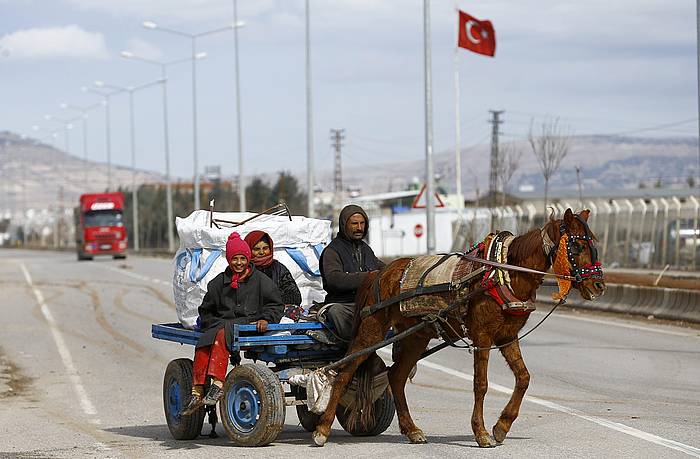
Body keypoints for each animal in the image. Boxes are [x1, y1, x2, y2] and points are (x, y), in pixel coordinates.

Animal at [314, 210, 604, 448]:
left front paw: (501, 427)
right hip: (371, 331)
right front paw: (482, 433)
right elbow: (481, 384)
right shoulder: (482, 336)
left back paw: (412, 430)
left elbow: (524, 378)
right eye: (577, 244)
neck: (502, 274)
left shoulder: (508, 336)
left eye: (594, 242)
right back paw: (322, 430)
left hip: (416, 336)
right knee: (343, 373)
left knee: (396, 376)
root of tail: (377, 273)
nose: (599, 286)